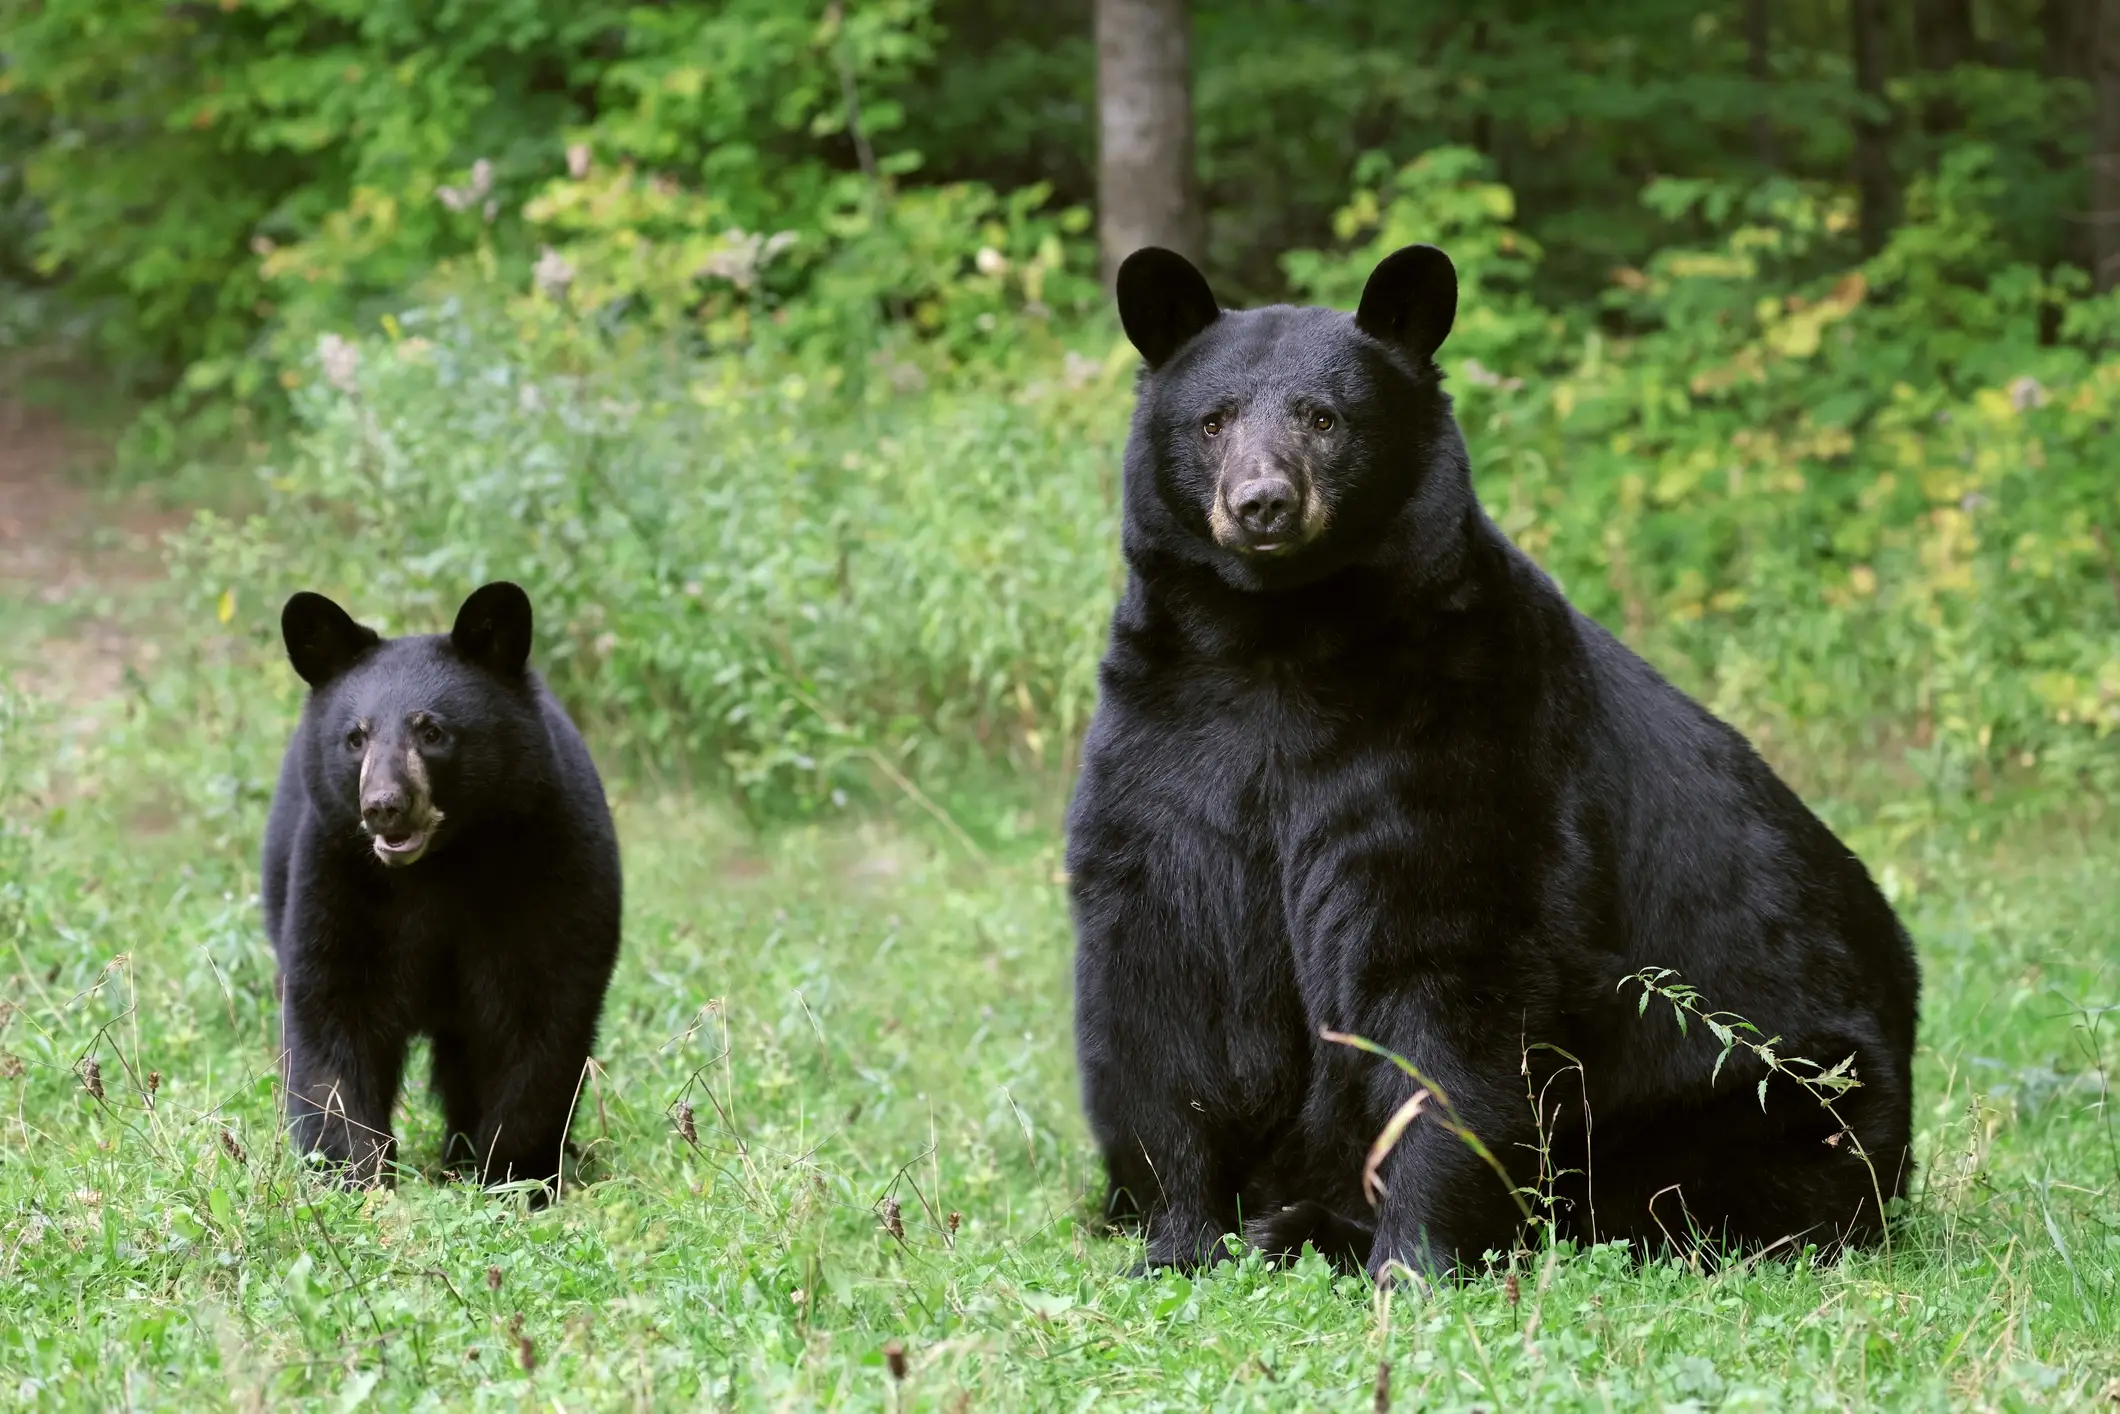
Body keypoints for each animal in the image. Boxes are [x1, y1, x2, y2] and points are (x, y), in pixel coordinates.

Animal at [262, 581, 622, 1195]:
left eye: (432, 732)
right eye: (355, 738)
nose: (383, 806)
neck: (440, 866)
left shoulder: (551, 862)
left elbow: (541, 1016)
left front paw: (513, 1176)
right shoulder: (335, 876)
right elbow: (332, 1015)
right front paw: (353, 1174)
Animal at [1065, 244, 1920, 1282]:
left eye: (1325, 417)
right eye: (1213, 420)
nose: (1262, 504)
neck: (1277, 640)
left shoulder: (1470, 736)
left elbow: (1449, 983)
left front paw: (1415, 1255)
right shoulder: (1166, 734)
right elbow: (1163, 983)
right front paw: (1177, 1237)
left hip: (1772, 1085)